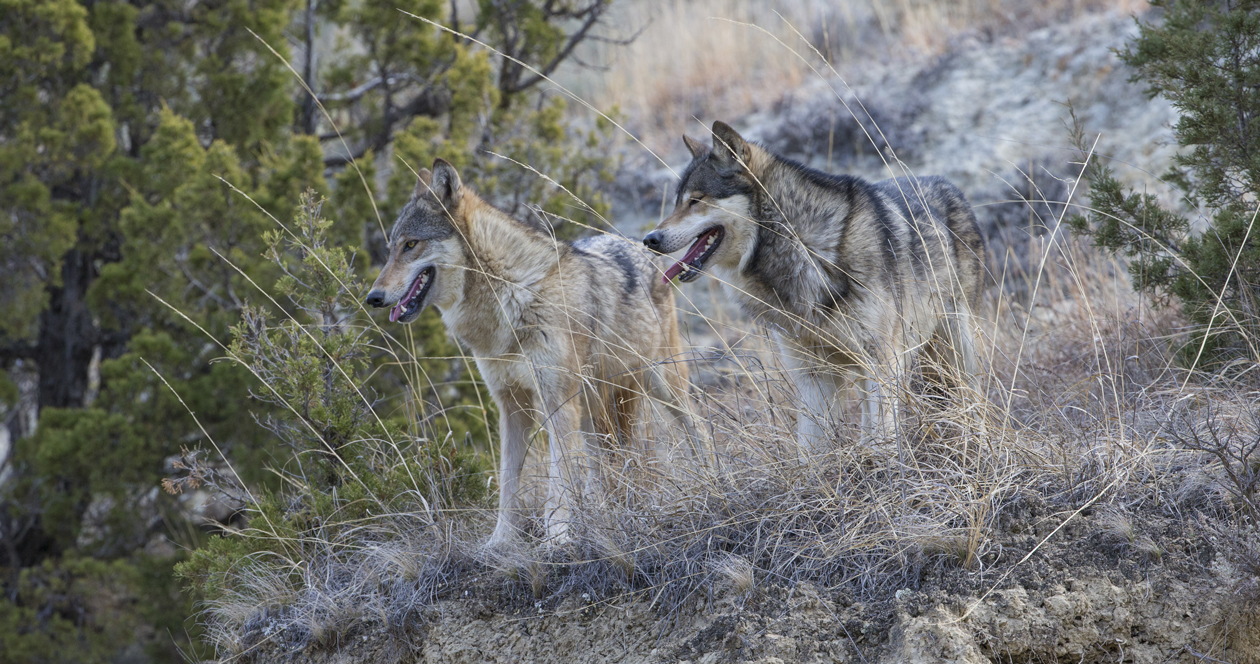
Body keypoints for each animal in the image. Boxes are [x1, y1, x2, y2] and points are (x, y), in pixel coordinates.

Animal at [367, 160, 700, 546]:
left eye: (411, 244)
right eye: (391, 248)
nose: (373, 297)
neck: (510, 295)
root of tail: (637, 244)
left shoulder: (556, 402)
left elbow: (558, 480)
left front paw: (556, 539)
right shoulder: (511, 405)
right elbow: (508, 483)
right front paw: (499, 542)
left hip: (660, 384)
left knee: (699, 430)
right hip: (593, 410)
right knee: (602, 464)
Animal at [640, 122, 982, 453]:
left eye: (696, 200)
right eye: (677, 202)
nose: (650, 239)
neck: (803, 246)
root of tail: (946, 183)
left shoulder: (883, 362)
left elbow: (883, 436)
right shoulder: (813, 375)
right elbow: (810, 449)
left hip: (956, 348)